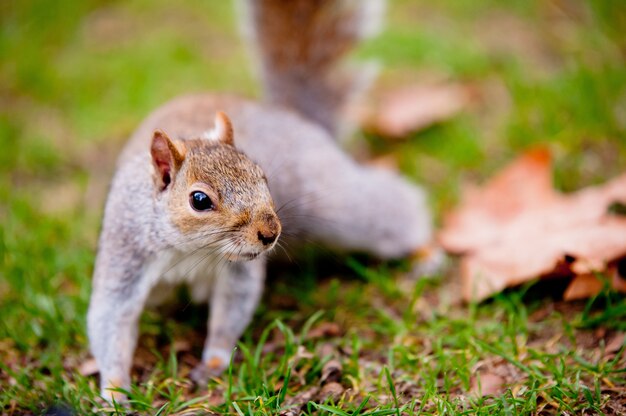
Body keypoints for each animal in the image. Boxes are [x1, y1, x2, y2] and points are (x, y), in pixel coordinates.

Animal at [88, 0, 434, 404]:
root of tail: (291, 116)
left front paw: (214, 361)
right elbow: (110, 317)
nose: (270, 233)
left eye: (262, 175)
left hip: (333, 202)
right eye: (199, 200)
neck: (190, 250)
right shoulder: (126, 254)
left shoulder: (237, 270)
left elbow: (232, 308)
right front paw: (113, 392)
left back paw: (426, 252)